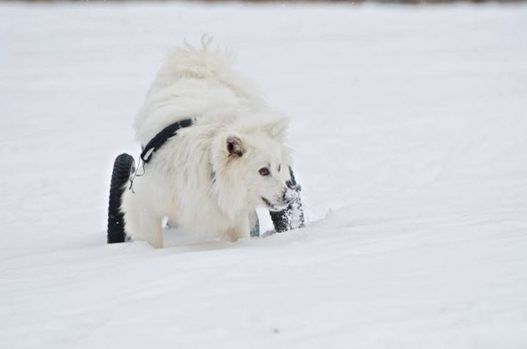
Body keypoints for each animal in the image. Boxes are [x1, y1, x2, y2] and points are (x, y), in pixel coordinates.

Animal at [121, 38, 300, 247]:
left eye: (279, 168)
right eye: (263, 171)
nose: (289, 197)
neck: (211, 173)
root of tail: (201, 66)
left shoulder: (232, 210)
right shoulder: (144, 201)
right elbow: (152, 239)